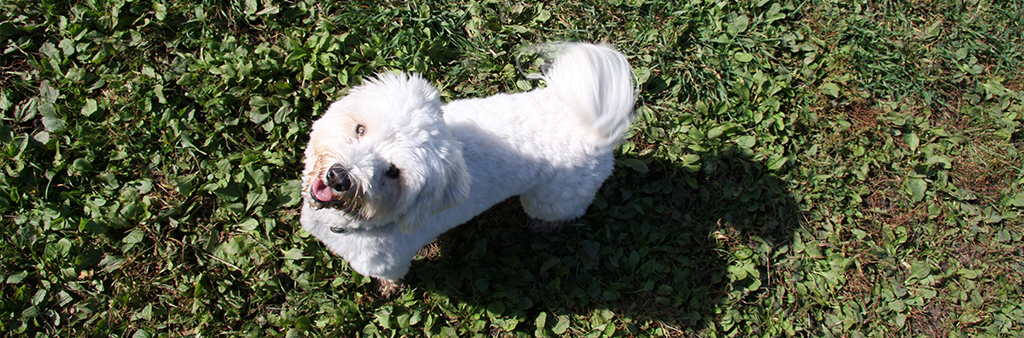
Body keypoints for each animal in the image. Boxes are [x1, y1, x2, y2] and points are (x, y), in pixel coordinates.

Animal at [299, 42, 630, 284]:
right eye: (360, 129)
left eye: (393, 172)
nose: (338, 177)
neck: (344, 223)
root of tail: (593, 126)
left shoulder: (392, 264)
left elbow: (391, 278)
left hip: (553, 199)